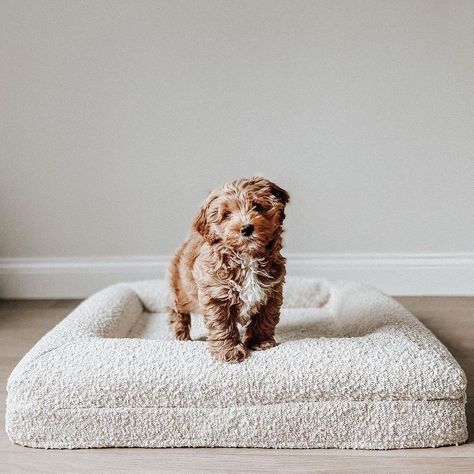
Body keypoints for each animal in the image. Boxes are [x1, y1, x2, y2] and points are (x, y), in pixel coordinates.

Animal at [168, 177, 290, 362]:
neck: (246, 258)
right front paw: (229, 350)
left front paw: (260, 342)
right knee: (176, 309)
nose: (246, 229)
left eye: (257, 206)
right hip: (180, 288)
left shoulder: (272, 292)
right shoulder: (215, 295)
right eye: (226, 214)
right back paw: (181, 336)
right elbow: (222, 324)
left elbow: (265, 318)